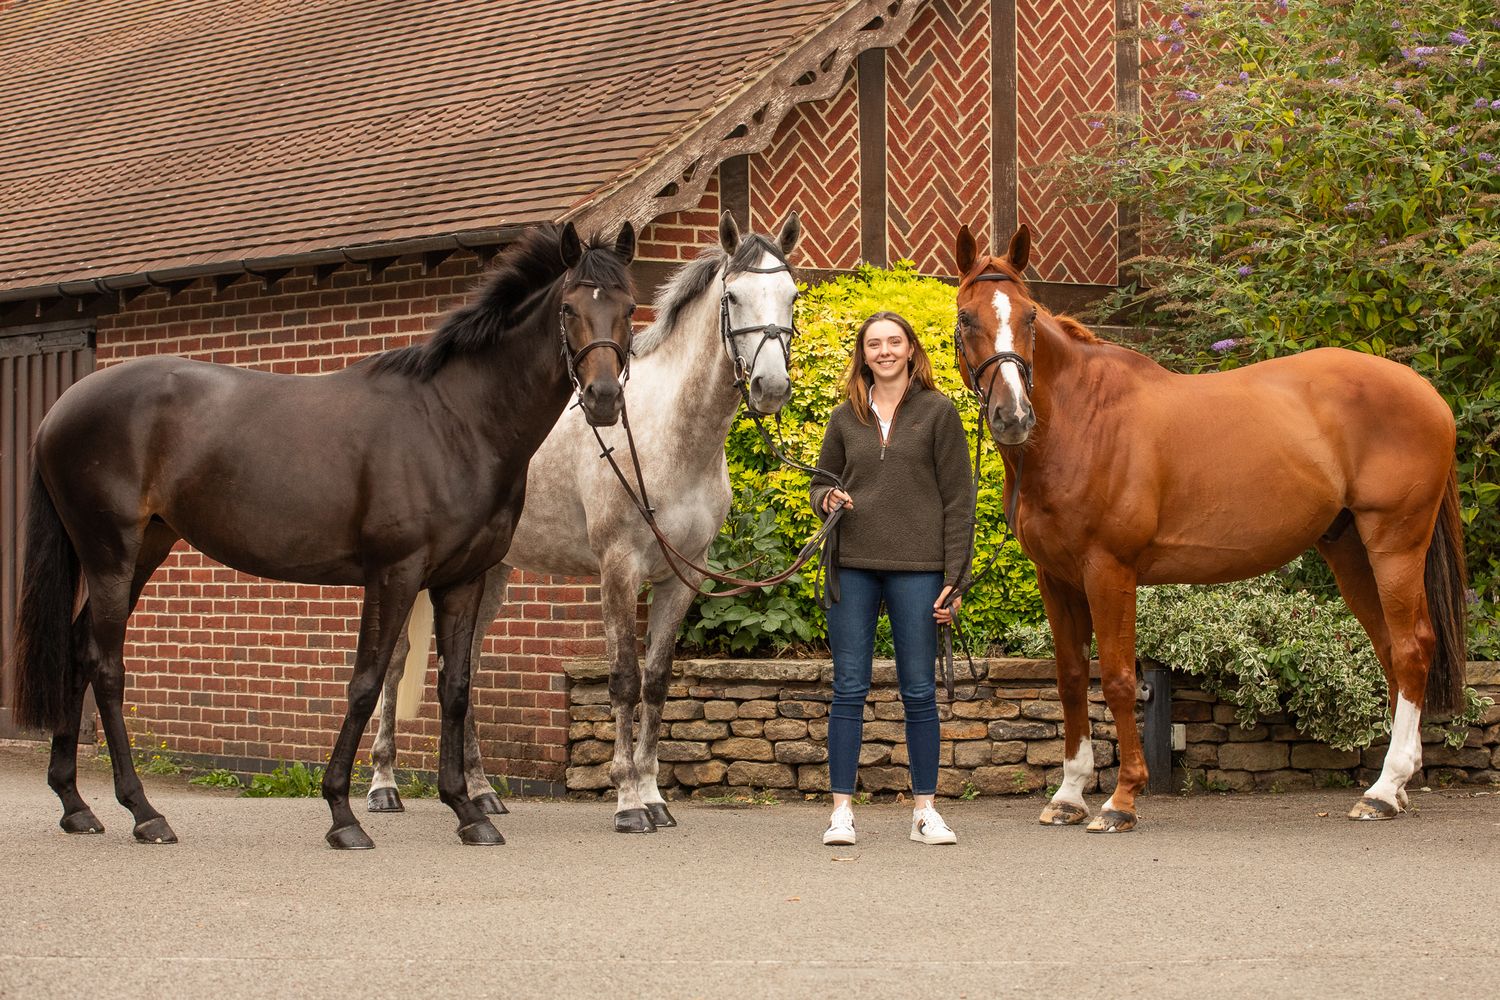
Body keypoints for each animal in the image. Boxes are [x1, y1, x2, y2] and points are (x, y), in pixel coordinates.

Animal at [11, 222, 639, 849]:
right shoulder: (395, 573)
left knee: (78, 650)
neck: (456, 421)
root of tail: (59, 410)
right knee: (105, 666)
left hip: (145, 546)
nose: (605, 399)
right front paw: (343, 813)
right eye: (569, 308)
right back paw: (144, 812)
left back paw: (76, 805)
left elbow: (456, 689)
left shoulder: (462, 580)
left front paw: (467, 810)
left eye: (629, 307)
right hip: (110, 551)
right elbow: (366, 681)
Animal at [369, 210, 802, 832]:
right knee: (398, 659)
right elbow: (622, 678)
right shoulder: (618, 567)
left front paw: (654, 796)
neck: (668, 433)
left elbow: (656, 681)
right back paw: (383, 785)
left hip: (492, 571)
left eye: (792, 294)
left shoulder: (683, 575)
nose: (771, 388)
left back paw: (481, 791)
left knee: (466, 664)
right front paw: (627, 801)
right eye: (734, 296)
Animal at [951, 223, 1467, 833]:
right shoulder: (1056, 577)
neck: (1084, 421)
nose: (1013, 417)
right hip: (1350, 550)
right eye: (966, 317)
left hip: (1395, 542)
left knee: (1412, 647)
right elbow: (1072, 678)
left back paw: (1385, 790)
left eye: (1030, 316)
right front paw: (1069, 796)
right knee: (1390, 649)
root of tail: (1427, 391)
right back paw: (1393, 785)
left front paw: (1122, 800)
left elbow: (1119, 679)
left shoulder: (1109, 571)